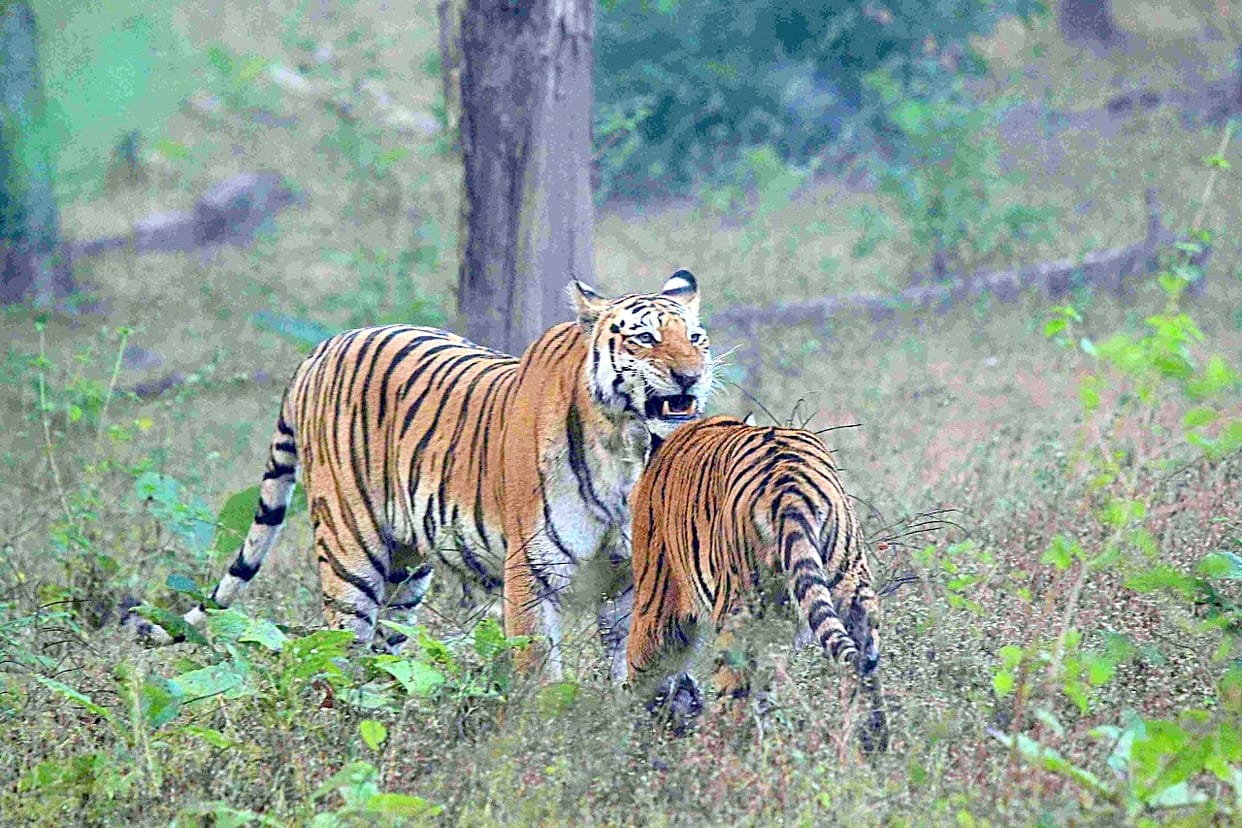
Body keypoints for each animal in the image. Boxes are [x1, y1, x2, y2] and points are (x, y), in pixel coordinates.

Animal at [133, 270, 713, 680]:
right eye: (645, 338)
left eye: (697, 338)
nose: (692, 375)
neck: (628, 449)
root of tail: (321, 348)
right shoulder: (531, 574)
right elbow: (542, 676)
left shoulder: (633, 579)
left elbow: (636, 671)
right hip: (349, 557)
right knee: (338, 656)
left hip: (406, 571)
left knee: (387, 656)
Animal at [625, 413, 886, 747]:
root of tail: (790, 490)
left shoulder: (655, 604)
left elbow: (639, 669)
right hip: (851, 586)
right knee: (864, 671)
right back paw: (873, 745)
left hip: (735, 618)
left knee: (734, 706)